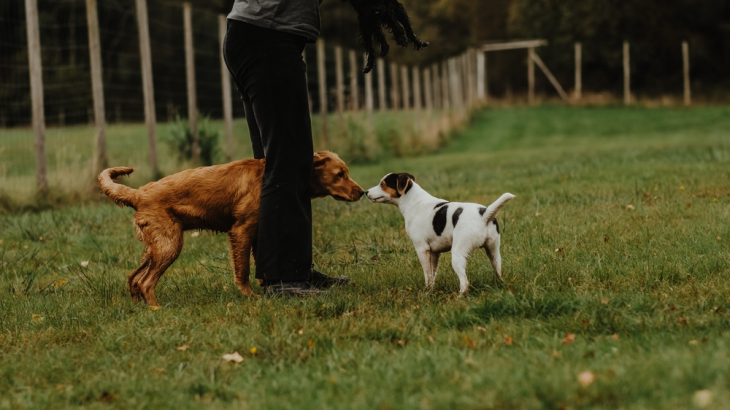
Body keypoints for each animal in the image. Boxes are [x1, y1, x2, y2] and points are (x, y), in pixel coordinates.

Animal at [98, 151, 360, 304]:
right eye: (340, 174)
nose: (361, 192)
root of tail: (138, 193)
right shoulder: (241, 231)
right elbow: (242, 270)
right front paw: (250, 296)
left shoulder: (257, 233)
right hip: (169, 245)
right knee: (145, 282)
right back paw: (156, 310)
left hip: (156, 247)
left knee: (134, 278)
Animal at [364, 173, 512, 294]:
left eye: (382, 184)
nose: (365, 192)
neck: (414, 202)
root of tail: (484, 214)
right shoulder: (435, 252)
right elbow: (433, 273)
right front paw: (432, 289)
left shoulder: (422, 249)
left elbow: (427, 274)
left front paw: (427, 291)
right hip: (493, 252)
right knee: (498, 271)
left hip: (458, 254)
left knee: (465, 282)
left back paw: (460, 296)